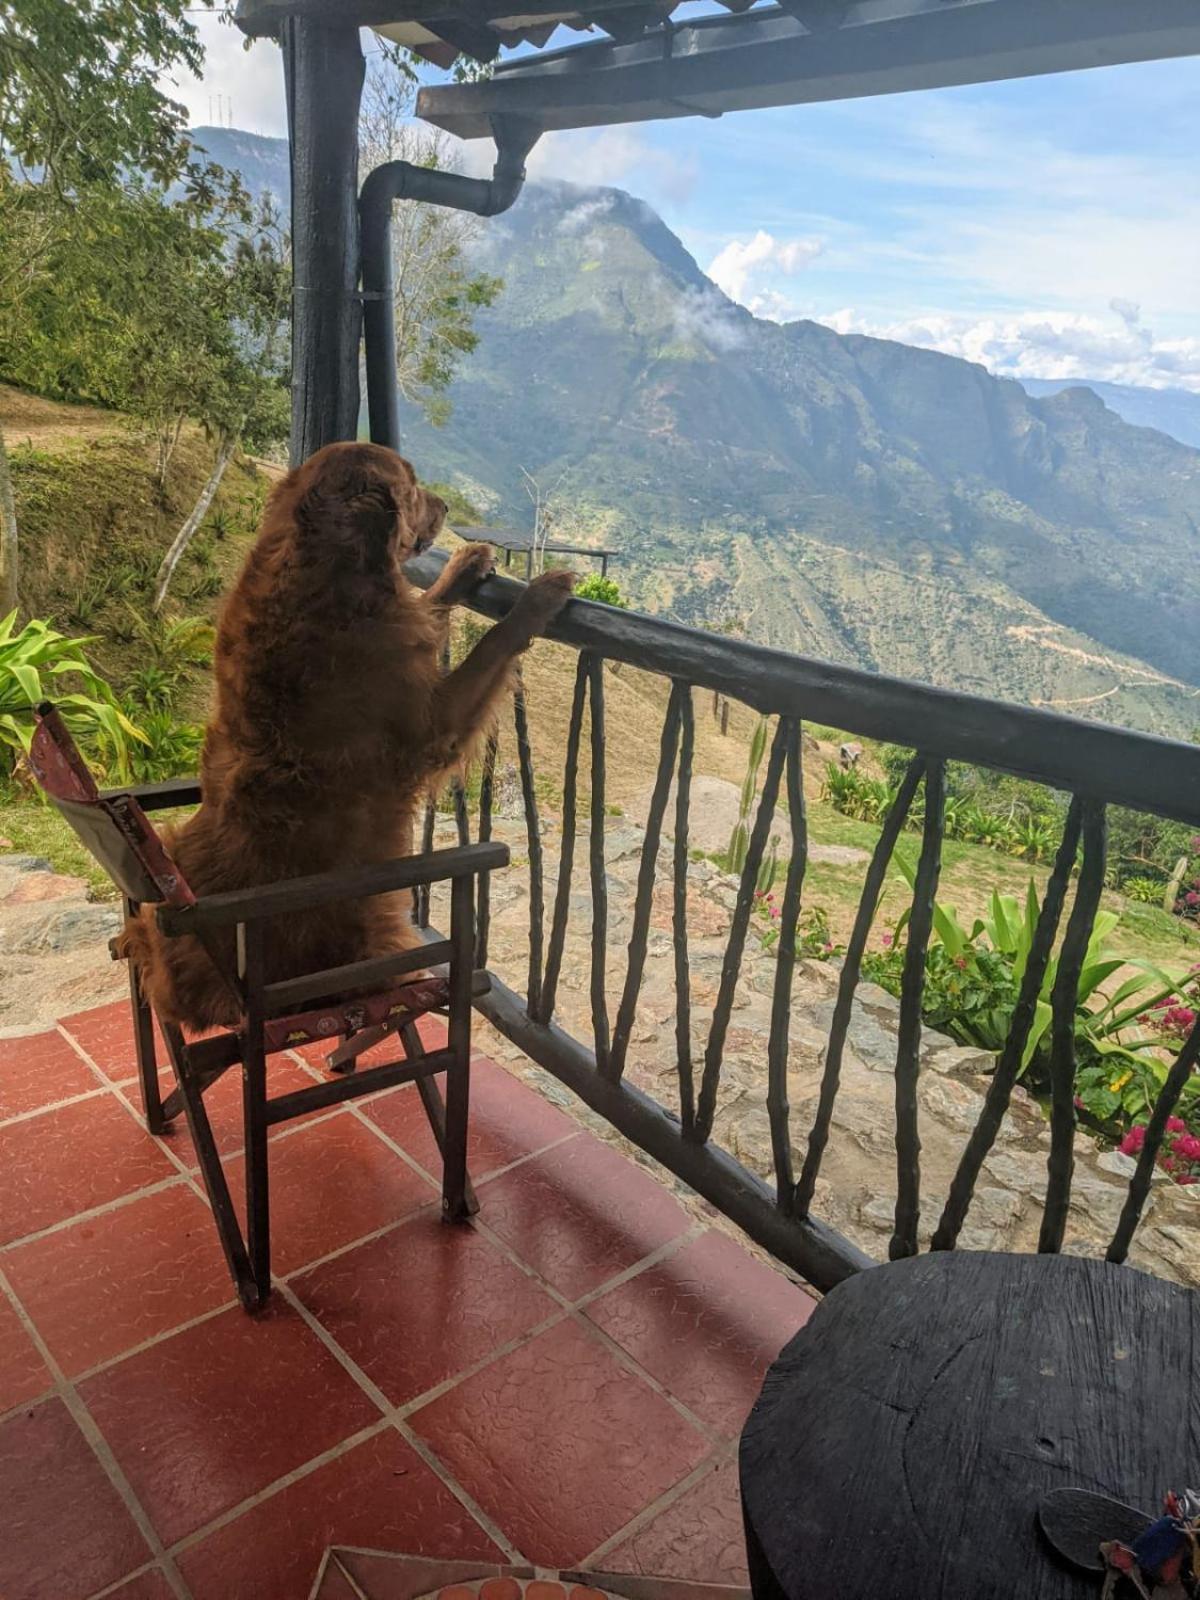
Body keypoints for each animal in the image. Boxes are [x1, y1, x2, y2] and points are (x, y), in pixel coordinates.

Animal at [124, 444, 576, 1030]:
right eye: (411, 484)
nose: (445, 505)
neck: (321, 572)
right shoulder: (432, 726)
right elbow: (495, 641)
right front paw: (539, 596)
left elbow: (430, 600)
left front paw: (464, 565)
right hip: (379, 938)